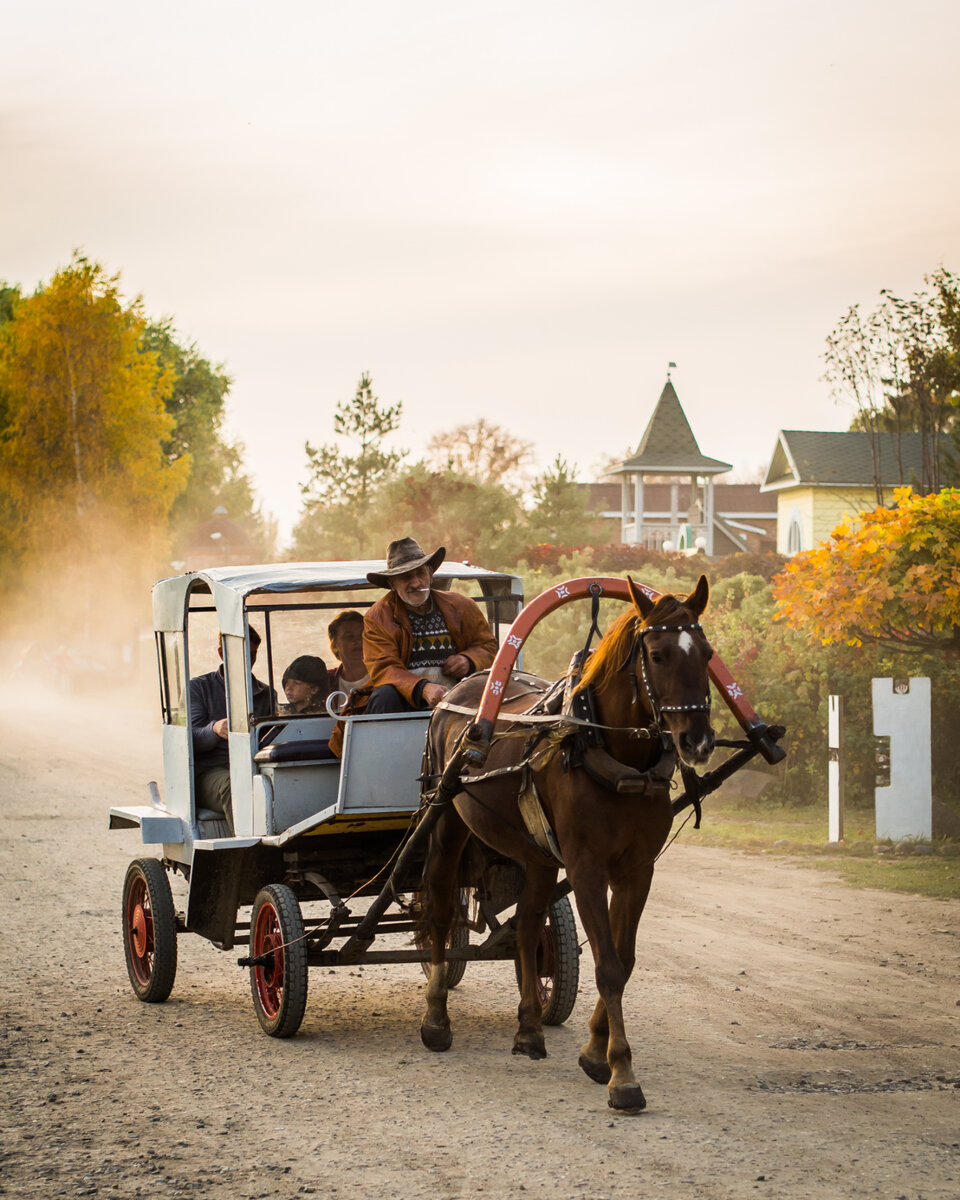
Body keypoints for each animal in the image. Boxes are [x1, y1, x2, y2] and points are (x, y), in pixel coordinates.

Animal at [415, 576, 715, 1108]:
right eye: (658, 655)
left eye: (707, 653)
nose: (698, 742)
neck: (614, 756)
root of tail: (456, 693)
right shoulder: (586, 866)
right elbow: (609, 966)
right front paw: (622, 1074)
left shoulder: (637, 869)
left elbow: (624, 960)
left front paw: (595, 1052)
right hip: (447, 821)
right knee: (441, 909)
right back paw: (436, 1017)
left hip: (536, 856)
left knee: (529, 926)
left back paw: (530, 1029)